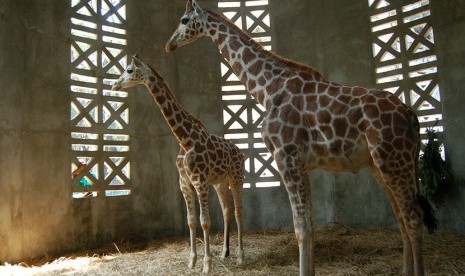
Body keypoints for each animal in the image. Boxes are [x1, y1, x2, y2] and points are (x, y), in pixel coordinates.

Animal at [111, 54, 246, 274]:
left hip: (237, 177)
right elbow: (191, 222)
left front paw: (206, 265)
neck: (184, 138)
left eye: (129, 70)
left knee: (238, 211)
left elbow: (205, 222)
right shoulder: (185, 183)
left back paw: (241, 257)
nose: (115, 84)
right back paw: (225, 253)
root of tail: (240, 152)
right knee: (227, 211)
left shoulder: (200, 182)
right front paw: (192, 261)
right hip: (220, 182)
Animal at [165, 1, 436, 274]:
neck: (268, 89)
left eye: (184, 20)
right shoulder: (302, 165)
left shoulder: (286, 157)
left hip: (393, 161)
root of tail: (411, 114)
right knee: (402, 216)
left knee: (414, 217)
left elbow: (301, 228)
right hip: (383, 165)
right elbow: (310, 225)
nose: (169, 44)